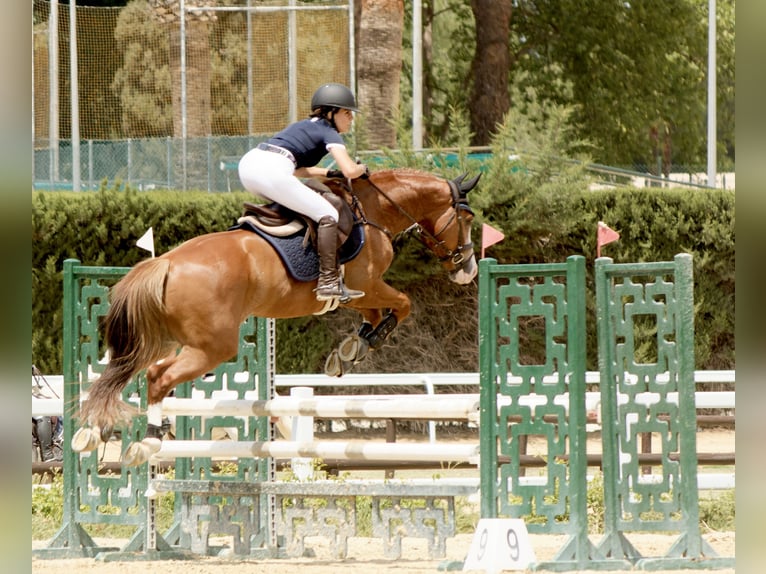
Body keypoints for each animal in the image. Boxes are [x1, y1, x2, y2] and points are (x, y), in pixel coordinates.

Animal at [73, 169, 480, 466]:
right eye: (466, 218)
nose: (469, 270)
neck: (374, 210)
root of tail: (167, 261)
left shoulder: (358, 294)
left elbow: (375, 313)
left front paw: (349, 351)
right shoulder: (368, 283)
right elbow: (404, 303)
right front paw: (364, 344)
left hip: (170, 340)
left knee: (124, 371)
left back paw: (94, 432)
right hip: (212, 347)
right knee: (157, 376)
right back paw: (148, 442)